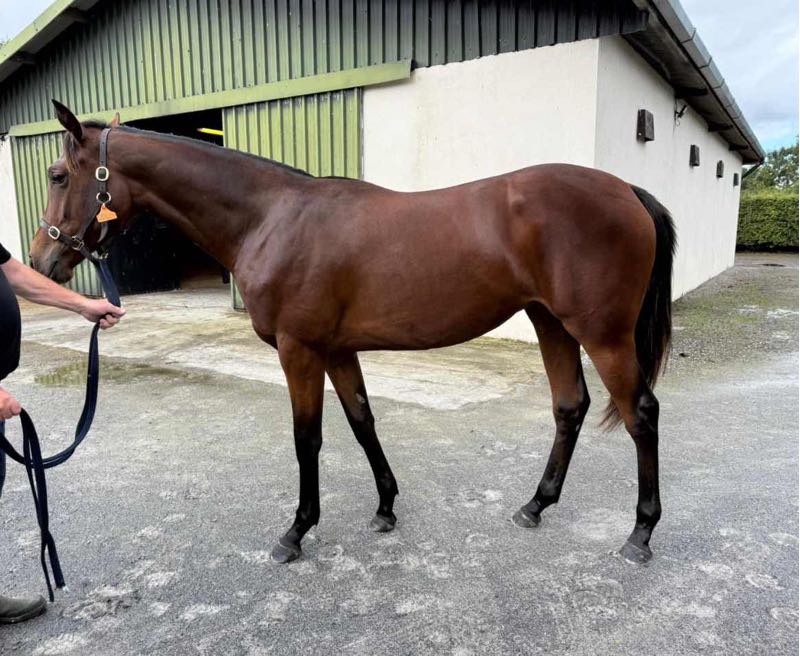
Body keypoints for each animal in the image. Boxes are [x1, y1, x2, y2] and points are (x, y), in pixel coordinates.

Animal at [29, 100, 675, 565]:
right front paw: (386, 507)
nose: (40, 261)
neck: (270, 218)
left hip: (602, 335)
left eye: (58, 174)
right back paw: (536, 505)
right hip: (551, 324)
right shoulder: (337, 350)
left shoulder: (299, 351)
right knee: (570, 406)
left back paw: (640, 534)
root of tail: (627, 191)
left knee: (640, 414)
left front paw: (296, 532)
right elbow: (363, 423)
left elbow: (307, 439)